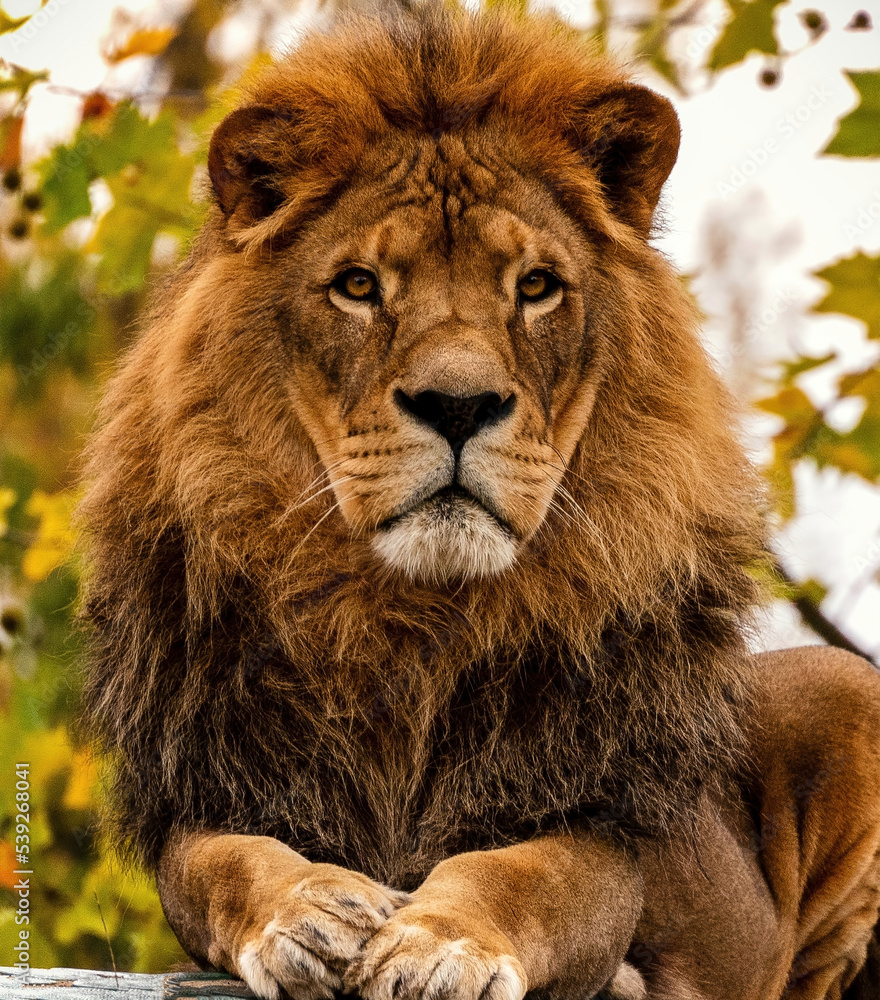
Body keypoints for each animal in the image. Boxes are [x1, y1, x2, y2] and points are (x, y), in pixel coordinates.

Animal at [78, 9, 880, 1000]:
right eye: (358, 285)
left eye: (535, 286)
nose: (458, 406)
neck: (411, 621)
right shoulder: (216, 790)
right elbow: (225, 863)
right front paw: (309, 912)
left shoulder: (597, 822)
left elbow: (518, 872)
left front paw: (439, 944)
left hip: (846, 692)